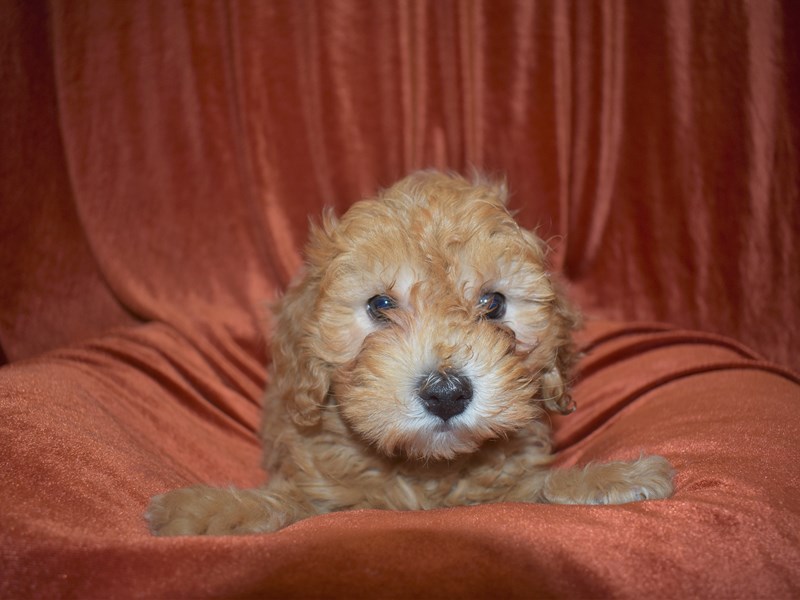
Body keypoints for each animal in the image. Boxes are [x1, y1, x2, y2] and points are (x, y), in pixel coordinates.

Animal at [145, 170, 676, 536]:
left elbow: (537, 490)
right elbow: (292, 505)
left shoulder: (507, 486)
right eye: (380, 305)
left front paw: (617, 478)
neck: (424, 473)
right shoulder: (322, 488)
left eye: (494, 304)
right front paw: (202, 509)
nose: (446, 393)